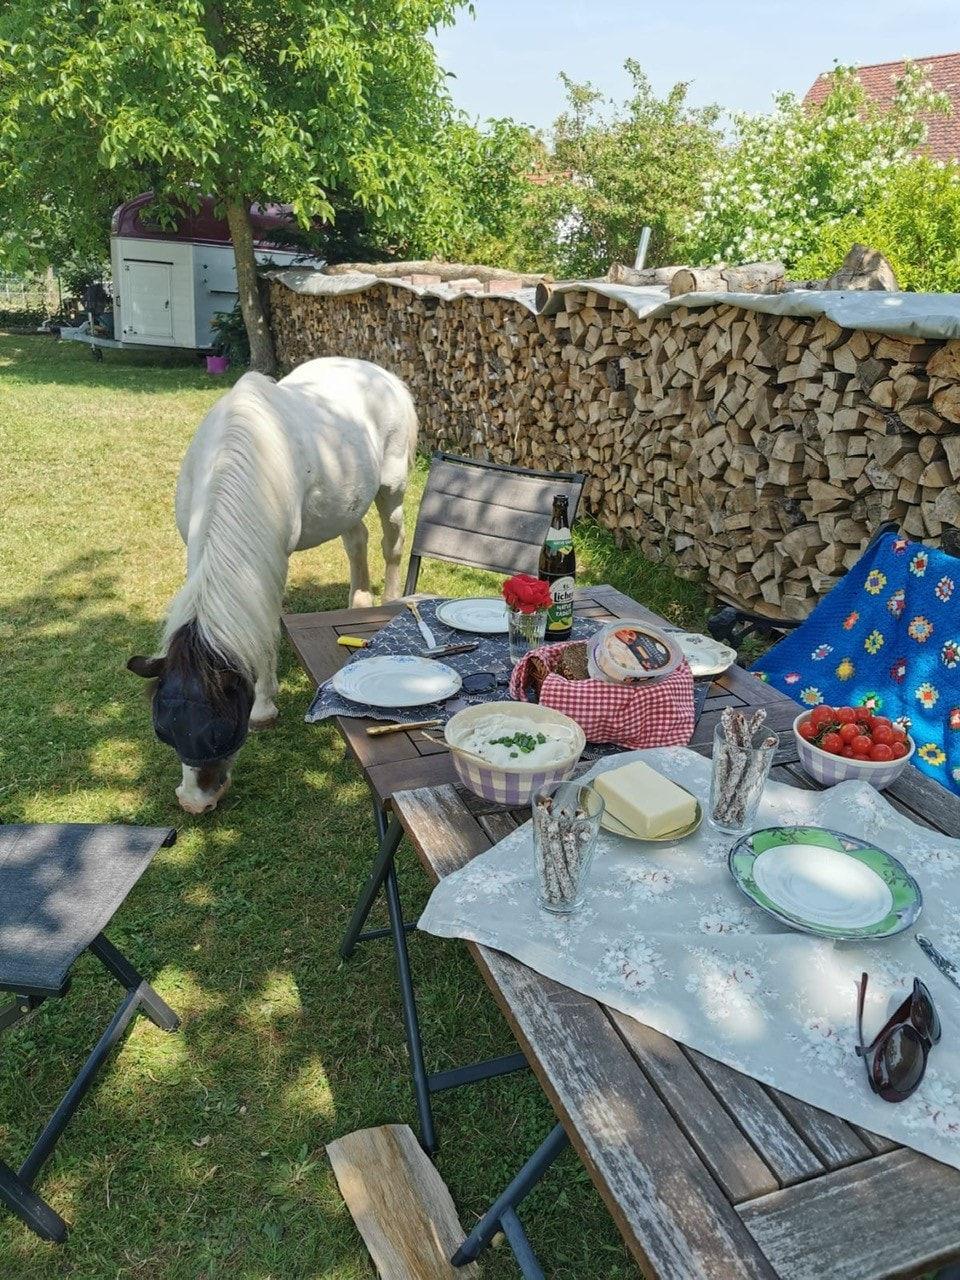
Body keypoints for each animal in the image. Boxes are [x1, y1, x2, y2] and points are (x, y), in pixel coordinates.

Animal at [126, 355, 417, 814]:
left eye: (224, 728)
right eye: (164, 732)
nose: (194, 802)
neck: (234, 460)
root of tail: (379, 373)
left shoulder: (275, 560)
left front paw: (265, 705)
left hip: (392, 489)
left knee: (392, 542)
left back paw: (384, 601)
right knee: (357, 539)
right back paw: (357, 603)